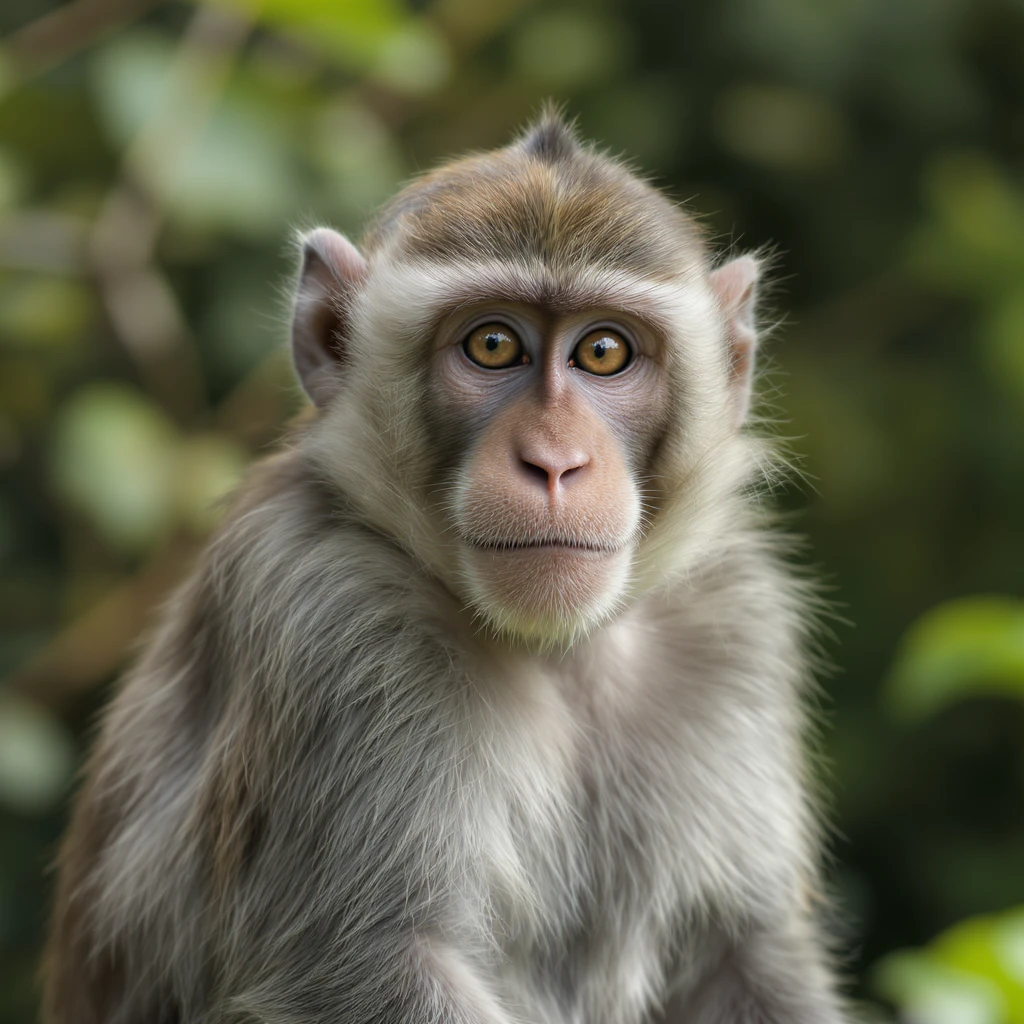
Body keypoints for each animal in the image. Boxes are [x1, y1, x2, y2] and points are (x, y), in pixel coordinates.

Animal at [42, 110, 851, 1024]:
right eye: (493, 344)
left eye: (604, 352)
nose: (555, 463)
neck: (552, 648)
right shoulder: (330, 617)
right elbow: (375, 959)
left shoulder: (734, 618)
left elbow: (743, 954)